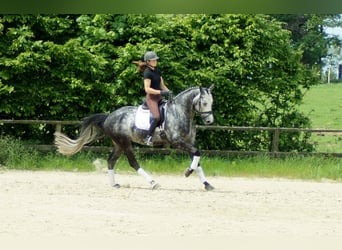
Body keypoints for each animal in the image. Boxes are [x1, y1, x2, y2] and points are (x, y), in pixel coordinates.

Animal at [54, 85, 215, 190]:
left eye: (212, 102)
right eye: (204, 102)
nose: (209, 121)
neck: (180, 112)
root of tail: (108, 117)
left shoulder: (189, 141)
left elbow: (197, 158)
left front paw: (207, 184)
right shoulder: (177, 142)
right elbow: (197, 154)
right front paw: (188, 172)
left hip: (118, 144)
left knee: (111, 160)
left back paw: (114, 184)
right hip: (125, 142)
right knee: (133, 162)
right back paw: (153, 183)